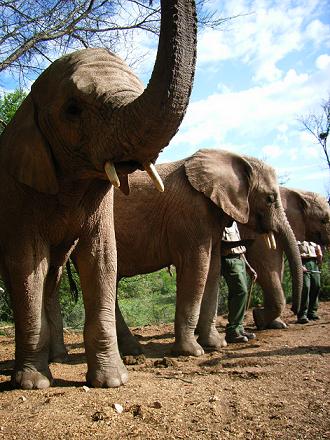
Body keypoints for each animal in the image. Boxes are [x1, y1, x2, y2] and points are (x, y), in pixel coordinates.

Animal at [0, 0, 197, 392]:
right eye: (73, 109)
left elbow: (102, 258)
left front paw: (113, 381)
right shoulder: (17, 194)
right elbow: (27, 265)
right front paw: (31, 384)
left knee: (52, 279)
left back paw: (58, 359)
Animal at [114, 150, 304, 356]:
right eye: (270, 198)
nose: (296, 311)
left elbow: (212, 269)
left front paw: (216, 345)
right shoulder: (191, 213)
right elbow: (197, 268)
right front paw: (193, 352)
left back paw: (133, 350)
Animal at [244, 186, 330, 330]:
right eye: (323, 220)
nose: (294, 309)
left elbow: (278, 266)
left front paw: (275, 324)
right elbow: (265, 263)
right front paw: (259, 319)